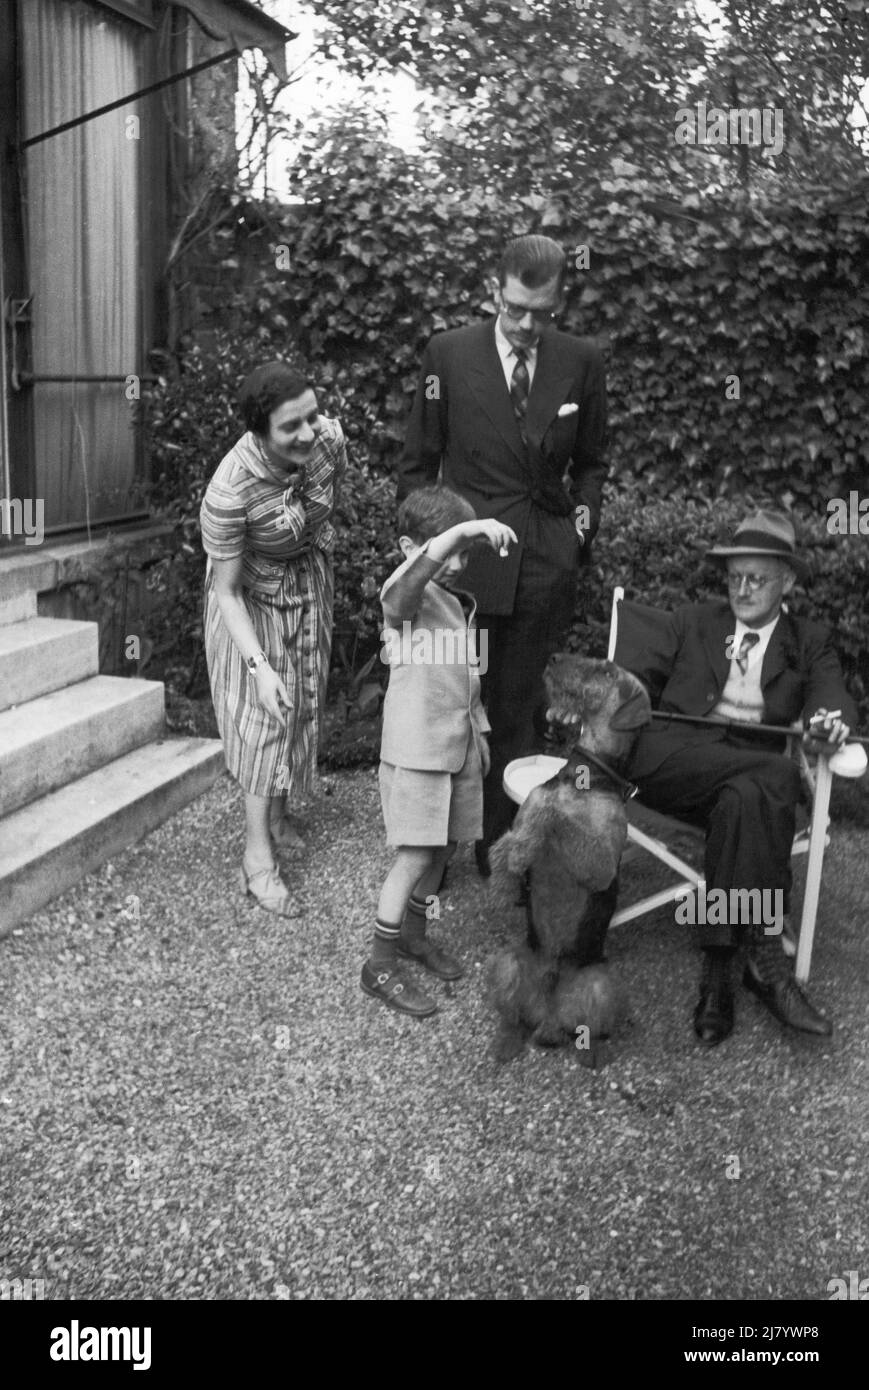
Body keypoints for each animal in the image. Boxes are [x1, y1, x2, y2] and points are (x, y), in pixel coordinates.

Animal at [483, 653, 647, 1061]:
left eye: (606, 670)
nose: (555, 658)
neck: (581, 778)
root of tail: (549, 1016)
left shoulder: (602, 863)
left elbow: (555, 816)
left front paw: (535, 835)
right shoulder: (524, 816)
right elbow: (508, 843)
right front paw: (503, 882)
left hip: (603, 983)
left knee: (592, 1029)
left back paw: (592, 1056)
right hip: (507, 962)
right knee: (513, 1017)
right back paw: (505, 1044)